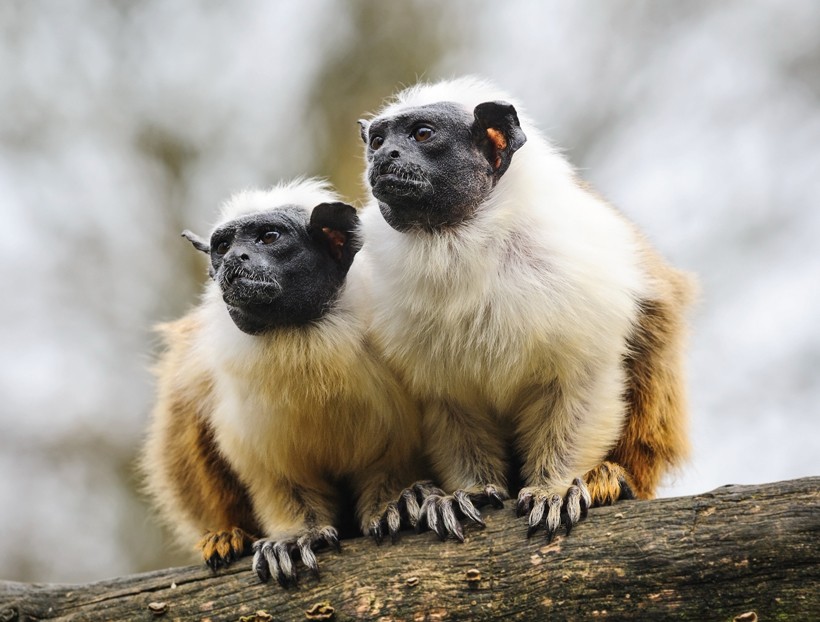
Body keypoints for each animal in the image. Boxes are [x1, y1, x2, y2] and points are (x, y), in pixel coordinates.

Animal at [142, 179, 422, 584]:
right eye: (223, 247)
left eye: (269, 237)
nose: (234, 259)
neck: (302, 338)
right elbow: (280, 480)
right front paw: (294, 537)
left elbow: (391, 459)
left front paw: (393, 506)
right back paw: (229, 534)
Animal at [356, 78, 696, 544]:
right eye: (377, 141)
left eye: (422, 134)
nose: (384, 156)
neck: (459, 241)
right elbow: (450, 406)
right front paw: (469, 492)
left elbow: (582, 388)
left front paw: (556, 488)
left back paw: (609, 479)